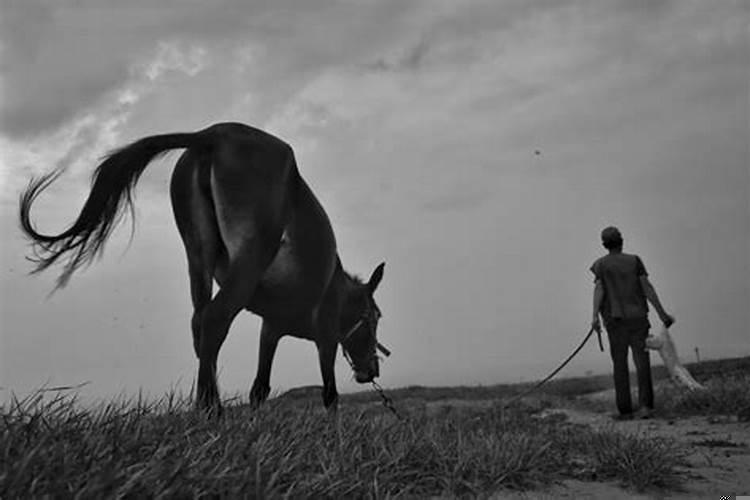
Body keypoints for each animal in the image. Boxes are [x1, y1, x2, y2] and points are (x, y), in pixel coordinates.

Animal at [19, 122, 388, 414]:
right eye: (375, 316)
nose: (372, 371)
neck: (335, 284)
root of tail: (212, 134)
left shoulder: (270, 328)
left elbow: (259, 389)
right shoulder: (325, 332)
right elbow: (330, 394)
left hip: (197, 255)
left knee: (200, 324)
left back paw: (207, 407)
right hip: (248, 259)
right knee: (214, 320)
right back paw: (211, 412)